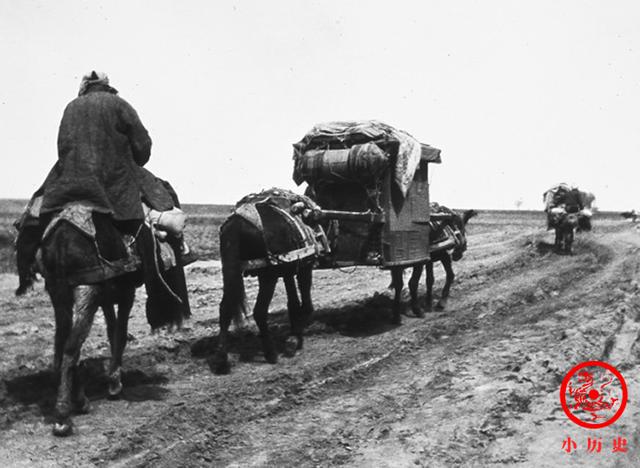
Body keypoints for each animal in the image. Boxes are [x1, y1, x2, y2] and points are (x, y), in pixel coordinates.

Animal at [39, 208, 189, 436]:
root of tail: (60, 237)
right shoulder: (125, 293)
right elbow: (120, 333)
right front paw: (115, 382)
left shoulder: (106, 296)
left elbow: (111, 330)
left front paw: (112, 377)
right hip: (86, 290)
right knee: (71, 346)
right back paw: (64, 416)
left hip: (59, 294)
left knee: (62, 342)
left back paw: (78, 400)